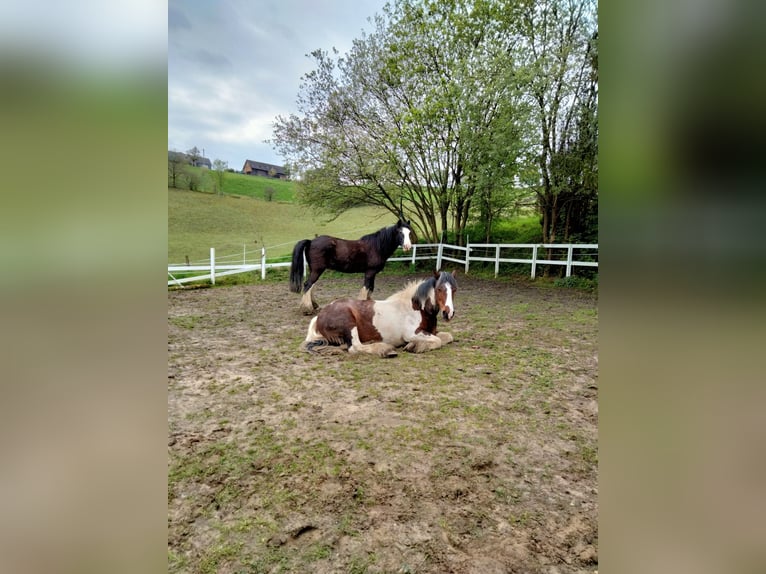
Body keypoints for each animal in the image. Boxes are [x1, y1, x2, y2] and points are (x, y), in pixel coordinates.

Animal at [304, 272, 460, 358]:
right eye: (439, 289)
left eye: (454, 289)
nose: (449, 313)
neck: (416, 308)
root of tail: (319, 316)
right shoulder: (412, 333)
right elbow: (438, 341)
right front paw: (415, 346)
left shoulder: (430, 331)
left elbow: (448, 337)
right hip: (349, 324)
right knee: (355, 347)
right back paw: (385, 350)